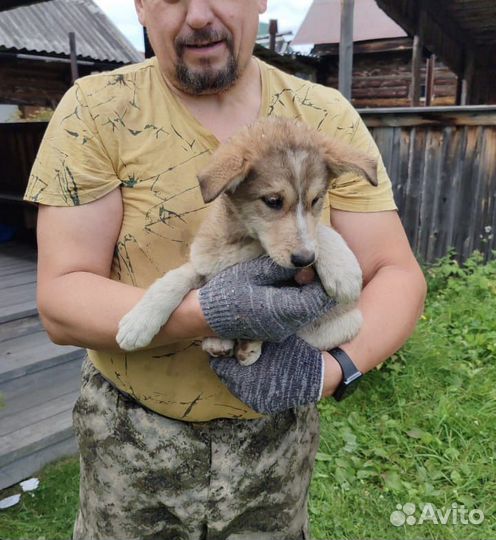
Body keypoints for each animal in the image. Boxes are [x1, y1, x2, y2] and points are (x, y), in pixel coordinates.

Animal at [117, 116, 376, 364]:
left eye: (316, 200)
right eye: (273, 201)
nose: (305, 260)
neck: (245, 242)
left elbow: (321, 229)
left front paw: (343, 272)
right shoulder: (206, 260)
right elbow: (175, 279)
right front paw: (139, 322)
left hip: (349, 322)